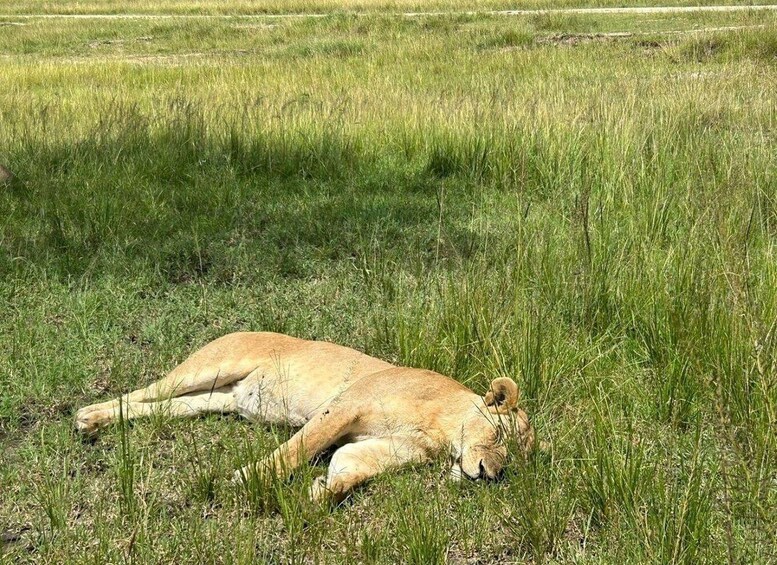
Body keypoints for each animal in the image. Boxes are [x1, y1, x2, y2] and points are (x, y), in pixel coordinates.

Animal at [75, 332, 534, 502]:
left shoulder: (382, 448)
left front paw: (322, 492)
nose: (490, 475)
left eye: (513, 461)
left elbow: (350, 469)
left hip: (212, 399)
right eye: (498, 438)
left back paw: (95, 423)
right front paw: (250, 480)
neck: (440, 429)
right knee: (142, 392)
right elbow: (298, 449)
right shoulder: (344, 407)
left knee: (158, 408)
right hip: (208, 368)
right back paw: (87, 417)